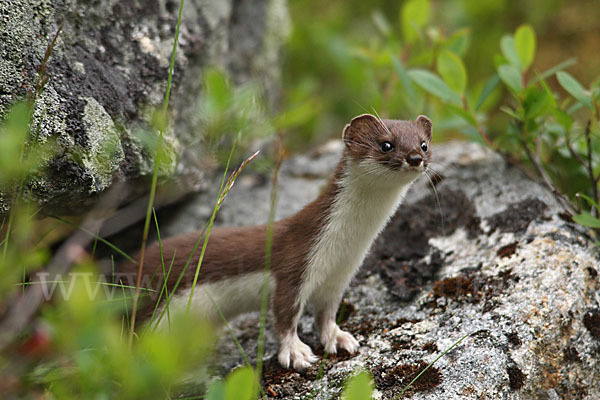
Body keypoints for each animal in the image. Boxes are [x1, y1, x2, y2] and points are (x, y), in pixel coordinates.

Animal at [120, 114, 432, 370]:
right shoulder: (296, 262)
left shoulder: (340, 275)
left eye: (424, 144)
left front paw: (339, 338)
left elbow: (327, 312)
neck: (346, 246)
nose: (415, 157)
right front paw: (296, 352)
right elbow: (285, 313)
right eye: (386, 144)